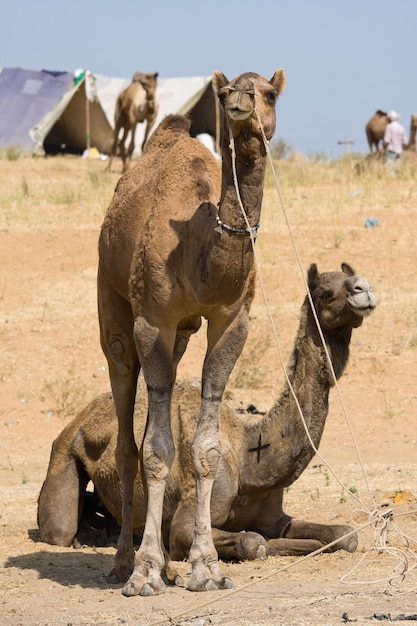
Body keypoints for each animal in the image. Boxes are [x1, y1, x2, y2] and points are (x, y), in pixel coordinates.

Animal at [39, 260, 376, 580]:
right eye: (325, 292)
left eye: (351, 276)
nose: (364, 288)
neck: (250, 461)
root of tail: (76, 419)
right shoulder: (187, 522)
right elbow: (252, 541)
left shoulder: (276, 517)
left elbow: (346, 534)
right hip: (63, 454)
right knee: (59, 528)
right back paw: (86, 536)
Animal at [97, 68, 286, 596]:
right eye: (223, 94)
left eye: (269, 93)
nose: (241, 99)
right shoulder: (152, 321)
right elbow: (155, 451)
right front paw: (144, 574)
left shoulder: (232, 322)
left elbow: (206, 450)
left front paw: (205, 567)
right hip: (113, 307)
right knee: (126, 435)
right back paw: (124, 561)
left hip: (180, 334)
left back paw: (165, 563)